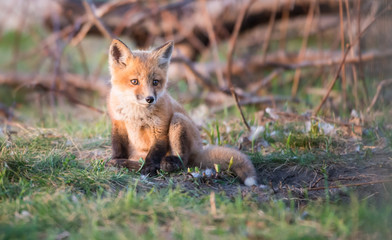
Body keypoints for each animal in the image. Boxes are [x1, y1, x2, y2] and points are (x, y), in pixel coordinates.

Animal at [105, 39, 258, 186]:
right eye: (134, 81)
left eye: (155, 82)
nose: (150, 99)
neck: (136, 114)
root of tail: (199, 149)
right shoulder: (118, 123)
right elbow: (117, 145)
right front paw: (116, 159)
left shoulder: (159, 129)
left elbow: (154, 154)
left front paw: (149, 168)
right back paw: (126, 164)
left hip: (178, 121)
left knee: (183, 160)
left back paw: (168, 164)